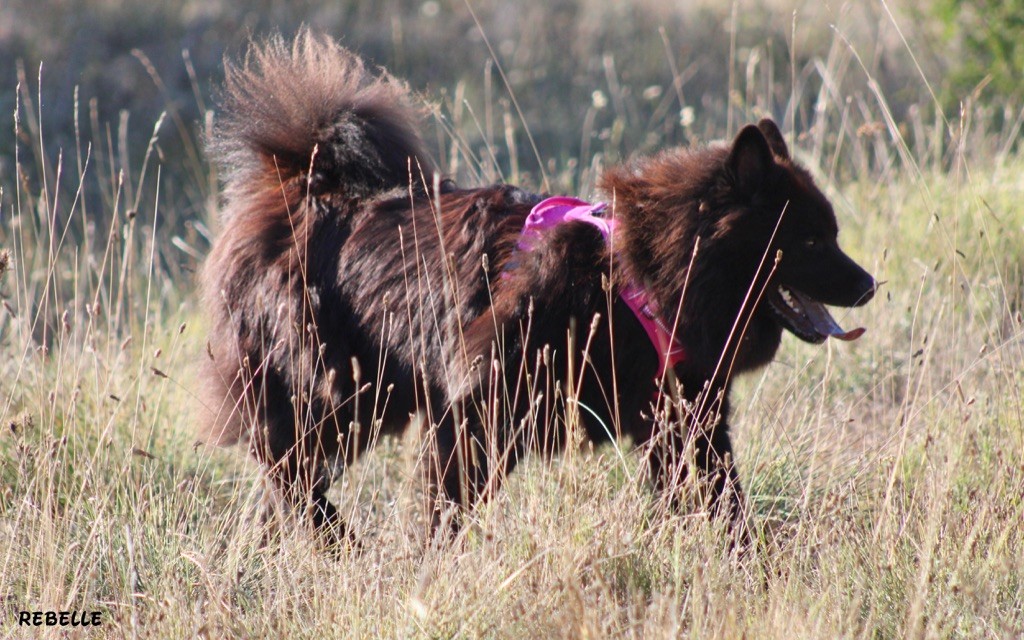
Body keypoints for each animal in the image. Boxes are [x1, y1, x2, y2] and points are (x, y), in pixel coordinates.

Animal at [197, 32, 872, 544]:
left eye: (832, 235)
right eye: (812, 242)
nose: (868, 285)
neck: (639, 274)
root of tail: (299, 190)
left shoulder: (684, 419)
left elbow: (724, 503)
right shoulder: (478, 401)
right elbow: (448, 503)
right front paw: (431, 563)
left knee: (285, 484)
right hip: (337, 391)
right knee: (290, 472)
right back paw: (340, 545)